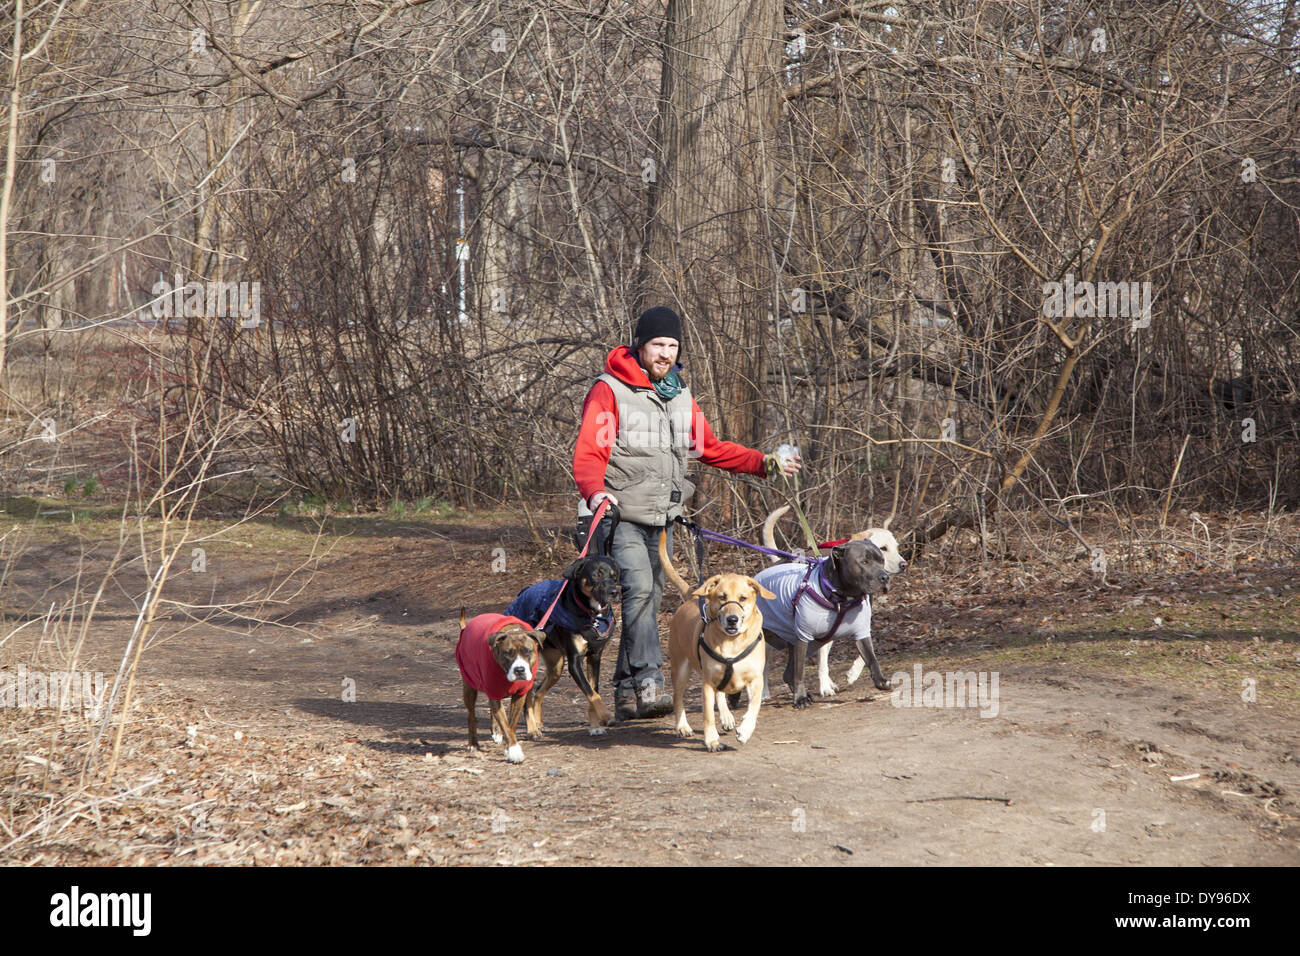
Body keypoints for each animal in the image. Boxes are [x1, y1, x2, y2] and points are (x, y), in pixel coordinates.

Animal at [506, 556, 624, 738]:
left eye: (614, 576)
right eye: (597, 574)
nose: (614, 592)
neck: (591, 614)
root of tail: (523, 591)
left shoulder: (594, 657)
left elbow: (593, 691)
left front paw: (595, 726)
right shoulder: (574, 662)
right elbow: (592, 694)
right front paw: (606, 715)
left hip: (556, 666)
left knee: (538, 691)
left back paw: (538, 723)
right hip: (530, 664)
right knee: (528, 697)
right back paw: (532, 729)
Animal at [655, 535, 774, 749]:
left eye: (743, 598)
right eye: (722, 597)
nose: (732, 620)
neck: (732, 642)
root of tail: (689, 600)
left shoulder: (755, 679)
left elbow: (754, 706)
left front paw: (745, 730)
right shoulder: (707, 683)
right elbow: (708, 714)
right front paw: (711, 740)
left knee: (721, 694)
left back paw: (726, 717)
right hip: (681, 668)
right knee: (678, 697)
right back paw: (682, 726)